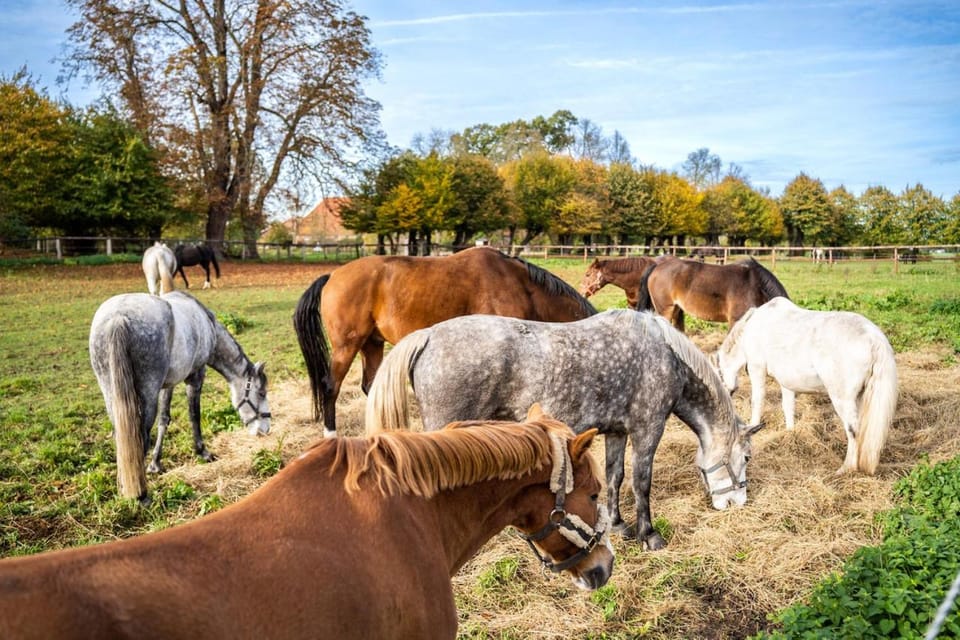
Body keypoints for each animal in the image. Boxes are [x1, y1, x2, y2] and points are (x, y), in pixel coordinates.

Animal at [89, 291, 271, 503]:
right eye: (261, 393)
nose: (265, 429)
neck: (207, 323)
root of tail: (118, 317)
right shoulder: (195, 376)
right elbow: (194, 416)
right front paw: (203, 452)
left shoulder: (168, 385)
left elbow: (164, 419)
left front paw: (155, 464)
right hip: (146, 396)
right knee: (140, 438)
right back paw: (141, 495)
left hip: (112, 396)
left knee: (123, 440)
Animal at [293, 246, 597, 437]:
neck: (521, 286)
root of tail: (332, 276)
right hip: (347, 346)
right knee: (331, 387)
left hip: (372, 344)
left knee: (371, 387)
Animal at [365, 309, 762, 550]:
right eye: (745, 457)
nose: (737, 503)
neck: (665, 353)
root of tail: (428, 336)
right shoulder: (648, 428)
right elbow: (641, 482)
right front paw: (649, 535)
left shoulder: (617, 431)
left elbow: (615, 477)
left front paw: (618, 524)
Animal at [716, 297, 897, 475]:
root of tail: (872, 337)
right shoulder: (786, 381)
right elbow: (788, 407)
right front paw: (790, 433)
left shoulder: (756, 368)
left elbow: (757, 401)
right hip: (858, 397)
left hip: (842, 399)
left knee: (853, 430)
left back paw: (845, 468)